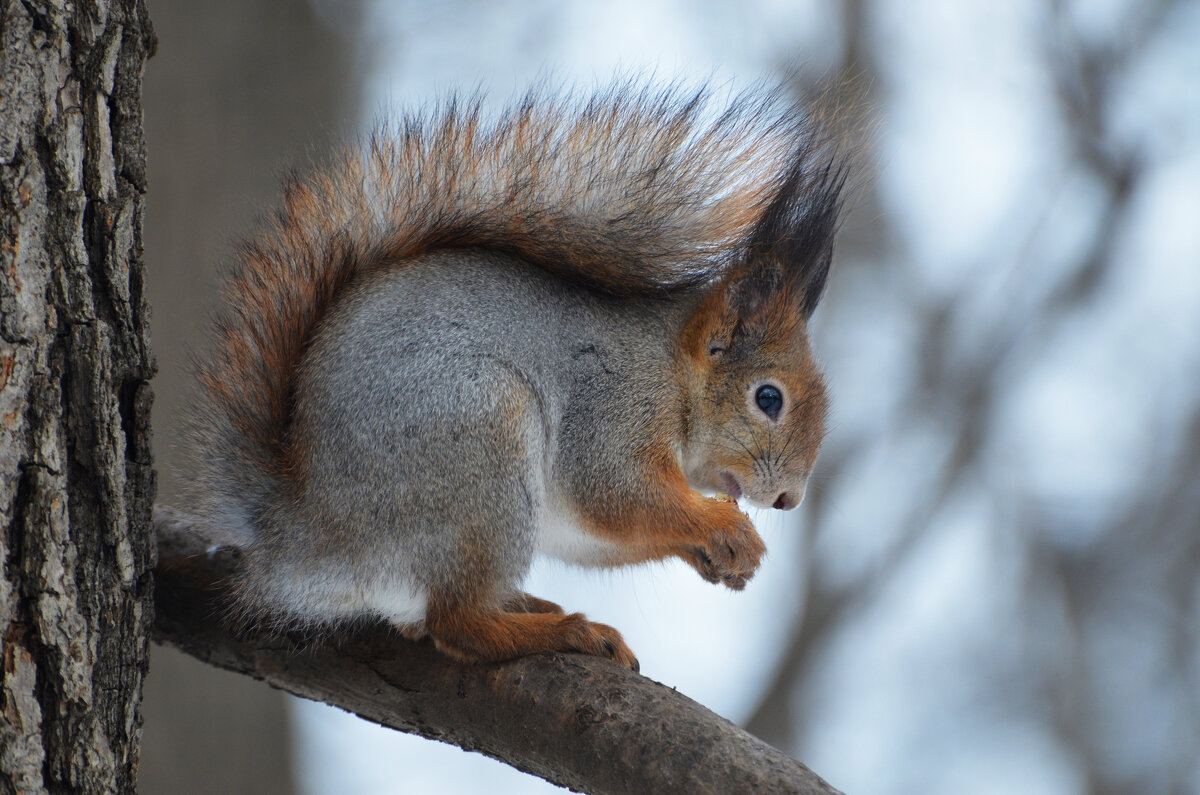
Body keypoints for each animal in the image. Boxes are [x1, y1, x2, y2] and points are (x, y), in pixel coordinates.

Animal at [184, 85, 844, 672]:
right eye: (768, 398)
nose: (788, 500)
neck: (671, 370)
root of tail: (310, 539)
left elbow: (608, 531)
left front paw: (722, 552)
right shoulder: (609, 403)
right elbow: (617, 492)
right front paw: (723, 526)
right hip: (481, 449)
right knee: (456, 624)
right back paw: (566, 632)